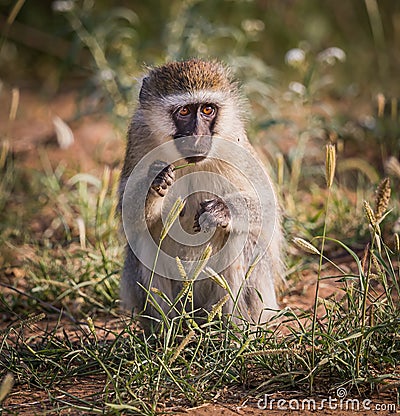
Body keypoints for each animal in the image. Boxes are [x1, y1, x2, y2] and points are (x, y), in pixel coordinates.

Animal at [119, 59, 284, 332]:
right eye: (184, 111)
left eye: (207, 109)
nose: (197, 135)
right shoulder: (138, 136)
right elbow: (126, 214)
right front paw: (155, 181)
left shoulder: (236, 142)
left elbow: (267, 206)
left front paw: (222, 210)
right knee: (144, 237)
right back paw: (166, 329)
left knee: (239, 238)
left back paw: (232, 329)